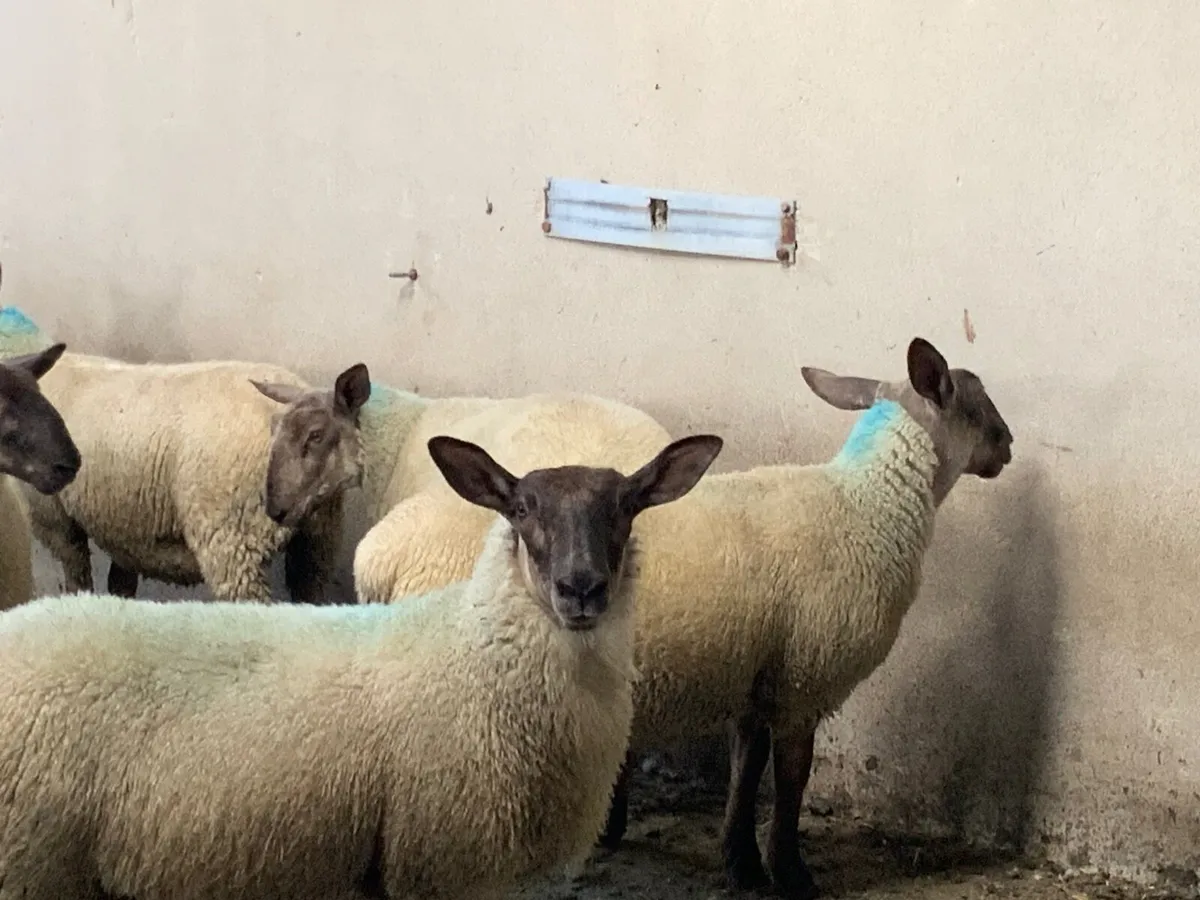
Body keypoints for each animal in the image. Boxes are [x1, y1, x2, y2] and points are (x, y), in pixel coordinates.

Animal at [0, 429, 724, 900]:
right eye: (521, 509)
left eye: (628, 507)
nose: (581, 588)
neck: (473, 654)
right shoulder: (433, 863)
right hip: (33, 862)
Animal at [582, 337, 1012, 899]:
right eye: (975, 405)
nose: (1009, 446)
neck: (868, 503)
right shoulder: (807, 677)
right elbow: (792, 777)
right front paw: (790, 873)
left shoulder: (757, 676)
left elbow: (746, 771)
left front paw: (741, 863)